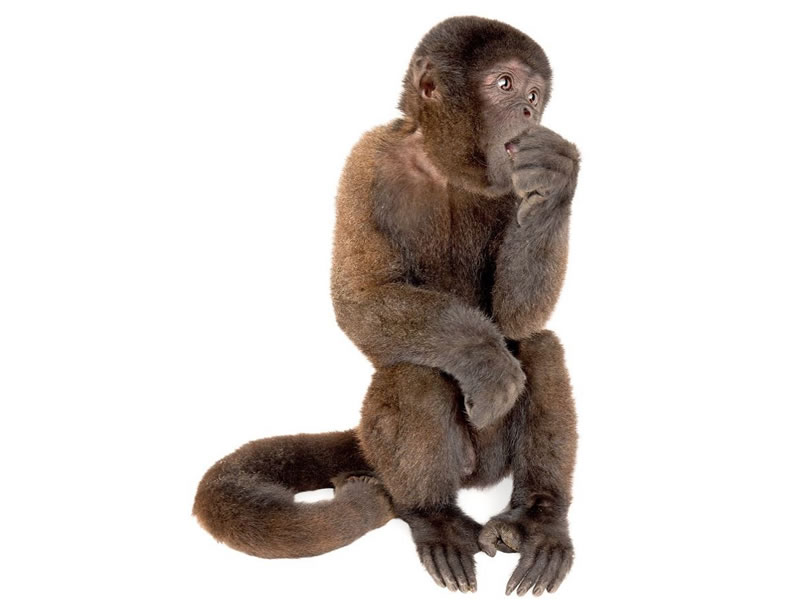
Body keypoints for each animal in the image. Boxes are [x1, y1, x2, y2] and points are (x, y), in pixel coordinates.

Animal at [194, 16, 579, 596]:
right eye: (506, 85)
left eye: (535, 95)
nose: (530, 112)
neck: (445, 166)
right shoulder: (366, 159)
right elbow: (362, 297)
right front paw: (488, 366)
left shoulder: (516, 174)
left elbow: (519, 317)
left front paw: (557, 181)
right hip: (435, 456)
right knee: (412, 369)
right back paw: (434, 516)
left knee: (539, 345)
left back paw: (538, 518)